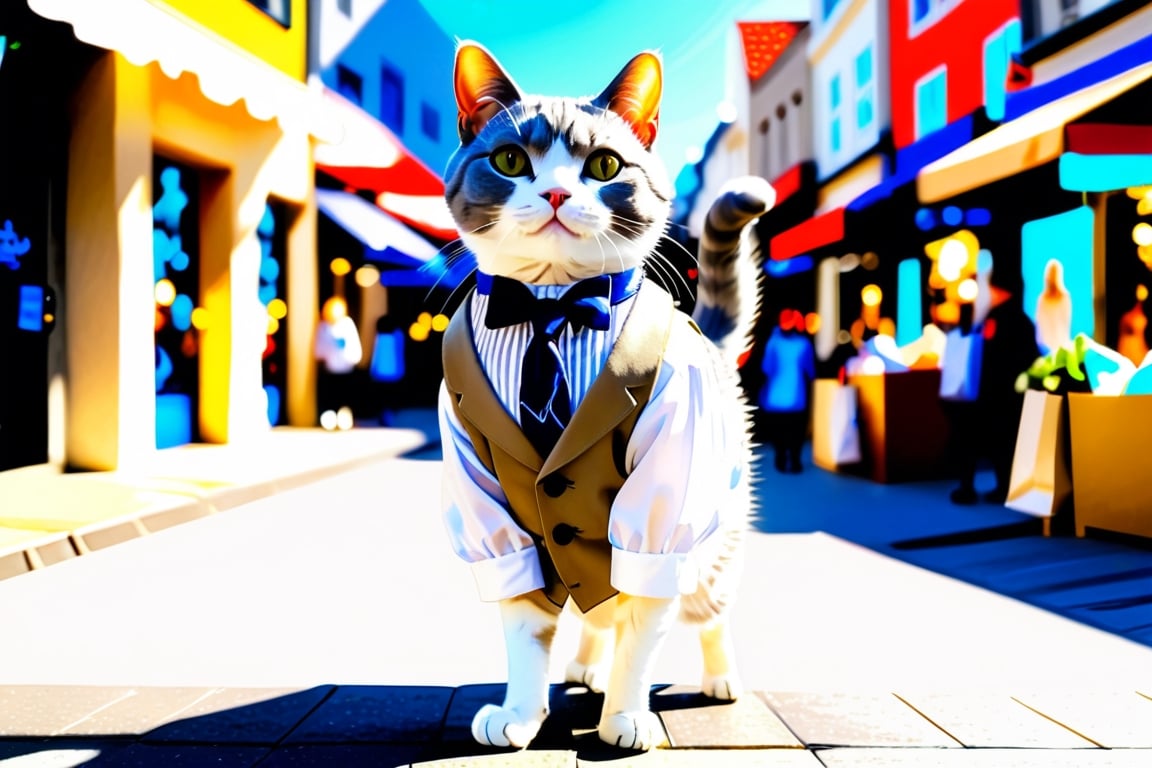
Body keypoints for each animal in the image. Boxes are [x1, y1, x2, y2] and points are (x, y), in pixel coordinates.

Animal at [435, 40, 778, 750]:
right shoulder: (484, 496)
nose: (558, 192)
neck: (550, 309)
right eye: (510, 161)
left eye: (604, 166)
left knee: (700, 607)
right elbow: (524, 618)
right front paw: (520, 711)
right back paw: (586, 667)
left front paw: (624, 716)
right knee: (596, 607)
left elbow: (645, 623)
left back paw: (718, 675)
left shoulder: (664, 501)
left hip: (717, 534)